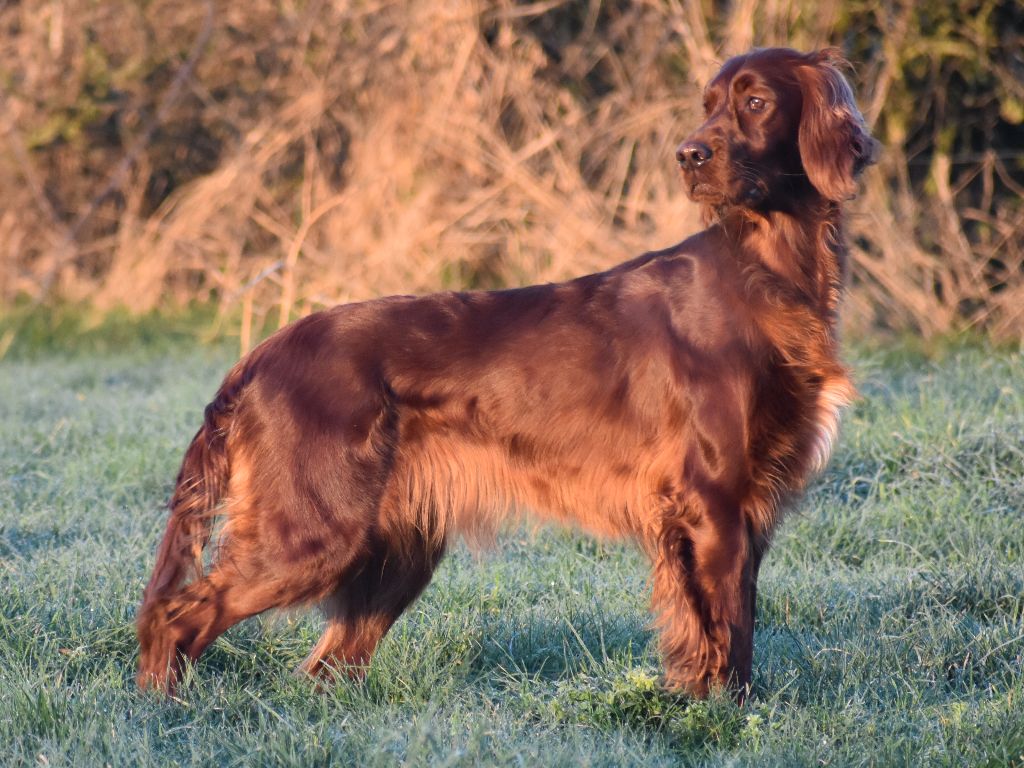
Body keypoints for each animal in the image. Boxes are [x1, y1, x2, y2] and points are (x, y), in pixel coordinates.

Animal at [136, 46, 876, 696]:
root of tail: (261, 355)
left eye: (754, 102)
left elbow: (723, 628)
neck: (765, 268)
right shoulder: (712, 502)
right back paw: (162, 709)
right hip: (315, 530)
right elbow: (728, 632)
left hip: (393, 547)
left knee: (321, 666)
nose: (689, 156)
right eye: (708, 105)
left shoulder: (741, 509)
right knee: (177, 616)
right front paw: (725, 715)